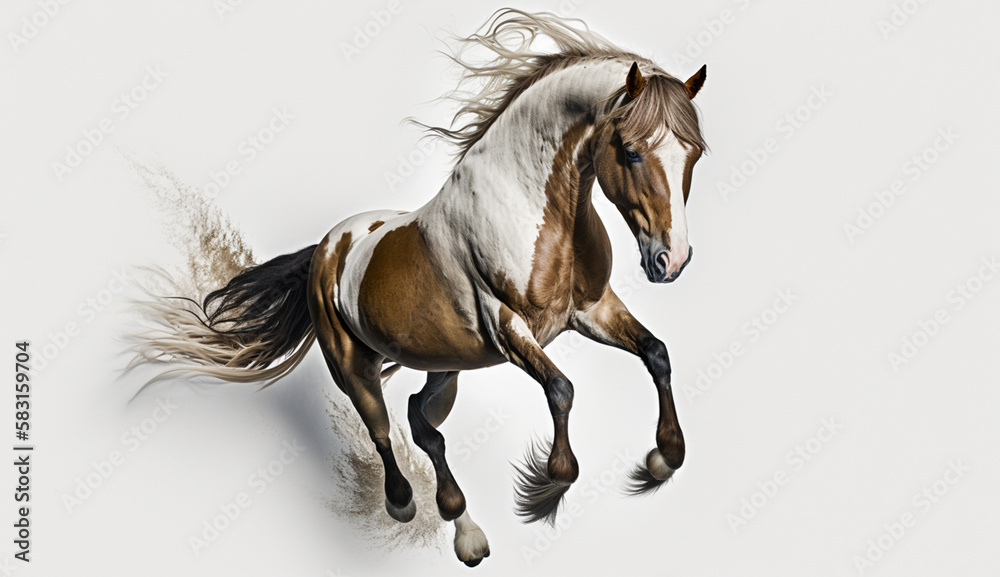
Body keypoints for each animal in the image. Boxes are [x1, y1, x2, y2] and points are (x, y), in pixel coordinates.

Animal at [131, 9, 708, 567]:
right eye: (630, 151)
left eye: (695, 153)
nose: (671, 260)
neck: (532, 207)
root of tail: (324, 249)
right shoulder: (508, 326)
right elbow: (562, 390)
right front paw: (545, 491)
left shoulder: (591, 310)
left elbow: (656, 353)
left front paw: (662, 460)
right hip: (354, 367)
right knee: (384, 429)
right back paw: (405, 504)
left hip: (445, 364)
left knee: (420, 420)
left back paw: (466, 533)